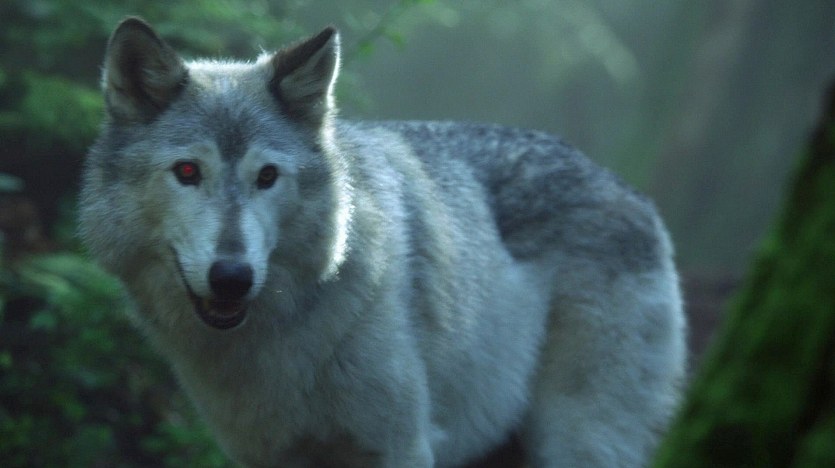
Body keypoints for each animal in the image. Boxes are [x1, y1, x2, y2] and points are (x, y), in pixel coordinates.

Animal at [79, 17, 687, 468]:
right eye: (187, 172)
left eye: (267, 177)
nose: (232, 277)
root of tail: (630, 191)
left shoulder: (400, 447)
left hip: (577, 439)